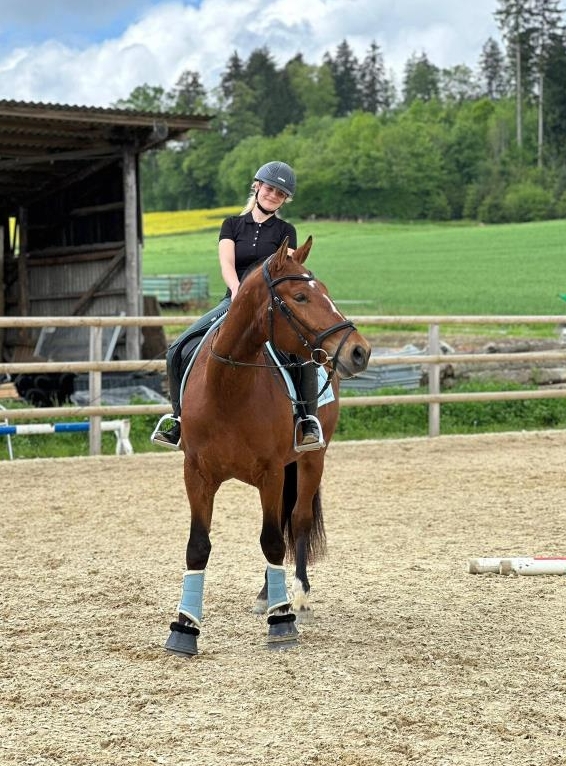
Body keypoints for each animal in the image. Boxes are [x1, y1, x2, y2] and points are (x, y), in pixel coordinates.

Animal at [164, 236, 371, 656]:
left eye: (325, 291)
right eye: (301, 296)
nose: (359, 351)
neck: (228, 387)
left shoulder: (272, 473)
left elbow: (274, 541)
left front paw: (282, 622)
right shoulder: (196, 473)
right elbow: (198, 546)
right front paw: (184, 629)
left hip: (312, 461)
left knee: (298, 522)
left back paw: (298, 598)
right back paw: (266, 595)